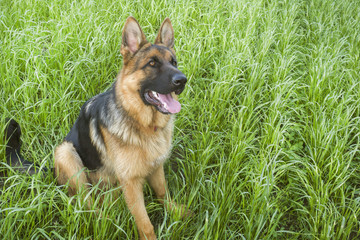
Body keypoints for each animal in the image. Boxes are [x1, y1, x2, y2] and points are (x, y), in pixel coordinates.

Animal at [4, 15, 187, 239]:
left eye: (174, 62)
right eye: (152, 63)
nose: (182, 80)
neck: (142, 123)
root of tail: (53, 172)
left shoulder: (156, 167)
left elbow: (162, 193)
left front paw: (177, 212)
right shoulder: (131, 183)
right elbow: (145, 223)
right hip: (66, 154)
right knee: (86, 204)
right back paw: (107, 221)